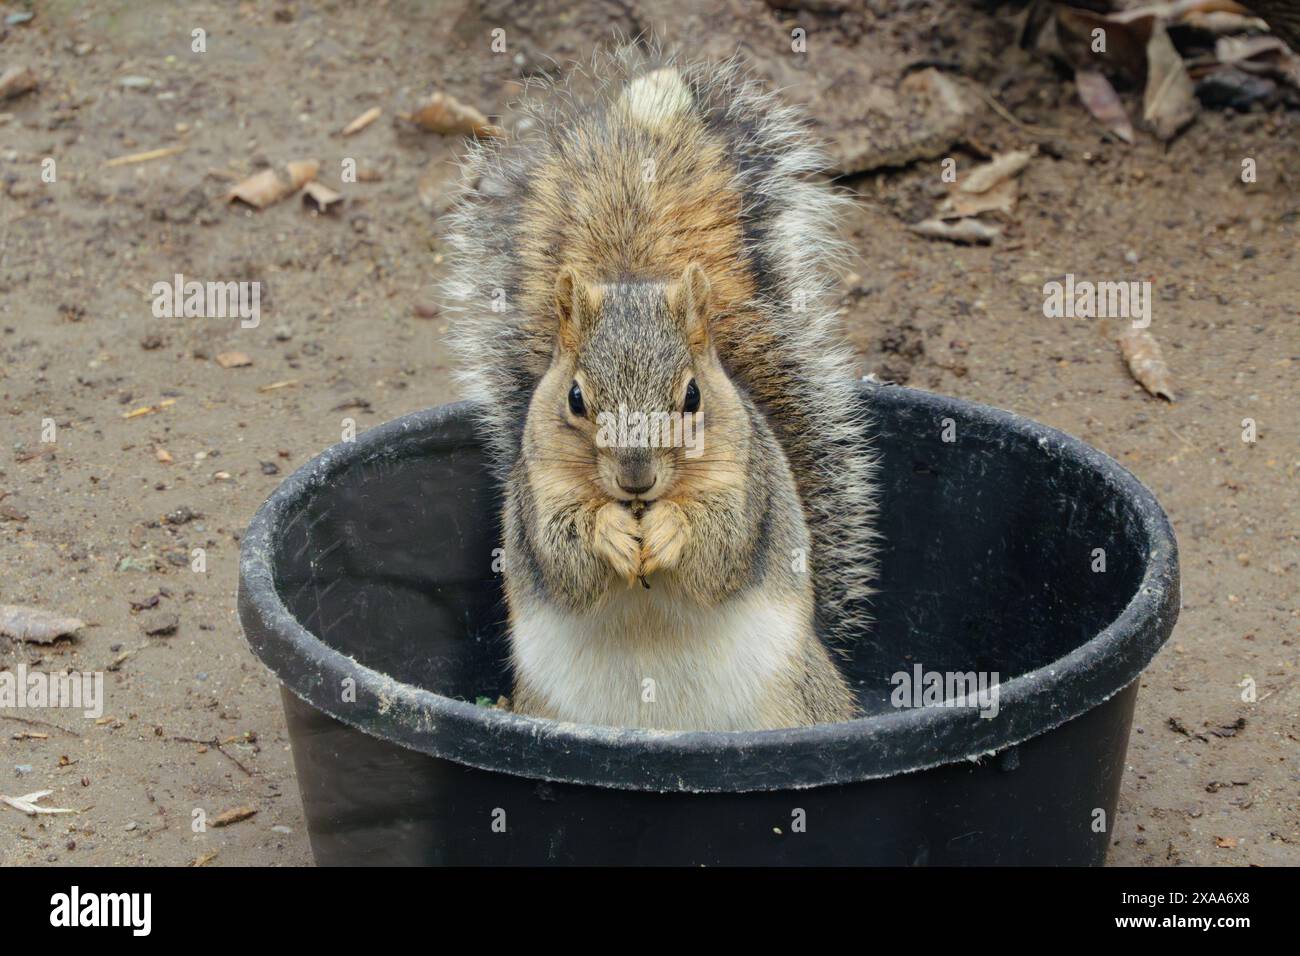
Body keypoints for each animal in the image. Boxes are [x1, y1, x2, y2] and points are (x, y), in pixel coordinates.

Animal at [443, 48, 877, 731]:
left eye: (693, 397)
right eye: (575, 399)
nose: (636, 478)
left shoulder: (748, 483)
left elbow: (720, 547)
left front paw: (673, 531)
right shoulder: (537, 491)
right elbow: (565, 557)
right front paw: (611, 536)